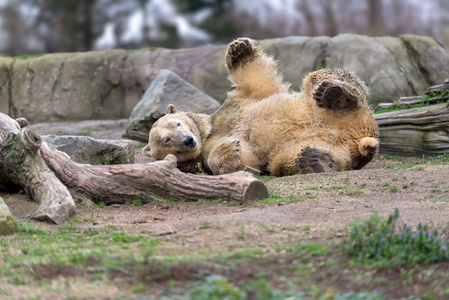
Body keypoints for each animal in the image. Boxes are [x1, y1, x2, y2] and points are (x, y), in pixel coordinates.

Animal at [144, 38, 378, 177]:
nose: (188, 140)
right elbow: (244, 158)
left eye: (177, 123)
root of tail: (361, 137)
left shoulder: (236, 103)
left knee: (319, 78)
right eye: (167, 140)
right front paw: (230, 150)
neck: (209, 129)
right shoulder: (206, 151)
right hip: (324, 146)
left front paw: (238, 49)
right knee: (286, 160)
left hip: (338, 107)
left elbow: (256, 80)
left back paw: (334, 95)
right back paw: (315, 160)